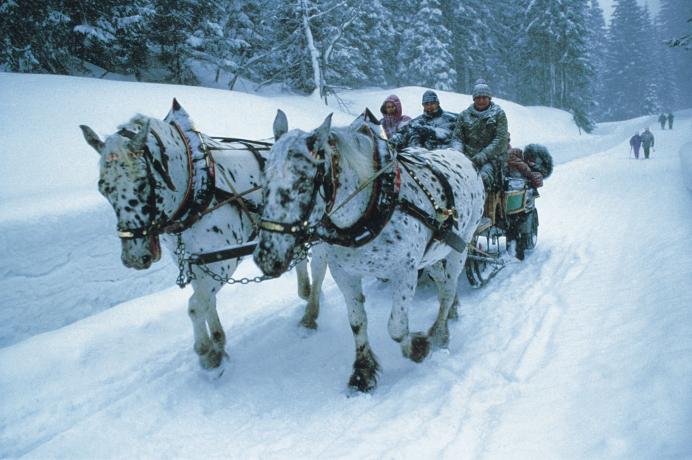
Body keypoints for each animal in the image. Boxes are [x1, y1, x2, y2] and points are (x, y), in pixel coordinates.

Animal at [79, 99, 328, 372]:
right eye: (103, 188)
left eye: (143, 183)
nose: (134, 257)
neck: (198, 188)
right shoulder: (196, 261)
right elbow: (207, 300)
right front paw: (218, 343)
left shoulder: (222, 261)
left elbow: (195, 306)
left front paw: (206, 353)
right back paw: (306, 291)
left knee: (320, 265)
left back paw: (312, 309)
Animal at [254, 110, 486, 392]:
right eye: (263, 181)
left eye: (302, 183)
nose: (266, 257)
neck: (371, 207)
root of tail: (462, 156)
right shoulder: (345, 273)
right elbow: (357, 322)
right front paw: (363, 372)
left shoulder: (404, 271)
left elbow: (396, 327)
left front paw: (418, 347)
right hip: (432, 254)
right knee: (442, 285)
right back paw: (451, 310)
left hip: (459, 248)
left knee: (449, 287)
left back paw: (440, 333)